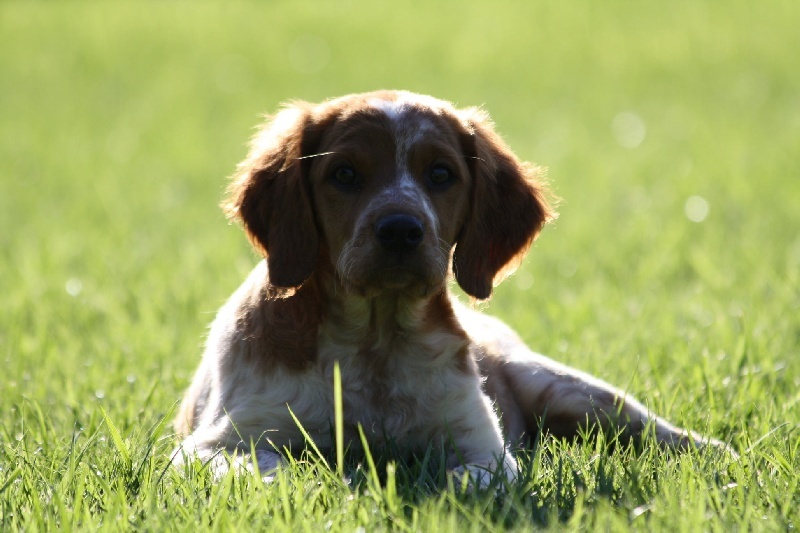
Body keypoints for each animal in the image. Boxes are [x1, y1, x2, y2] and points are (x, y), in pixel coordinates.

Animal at [173, 91, 732, 486]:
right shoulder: (216, 444)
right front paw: (336, 483)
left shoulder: (483, 446)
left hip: (566, 390)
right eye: (344, 173)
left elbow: (467, 479)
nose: (401, 230)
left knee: (656, 432)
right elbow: (277, 470)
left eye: (441, 174)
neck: (377, 344)